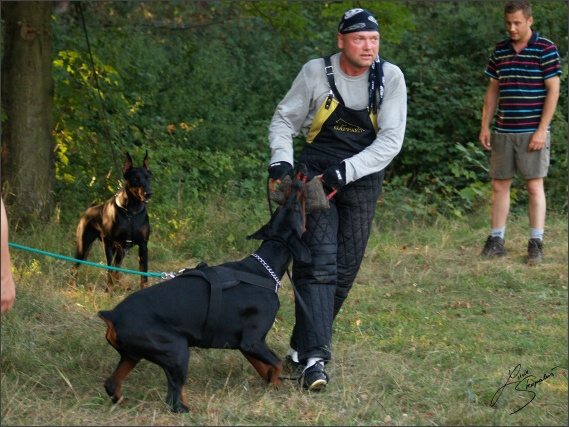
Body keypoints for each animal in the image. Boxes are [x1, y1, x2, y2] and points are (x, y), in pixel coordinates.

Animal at [72, 151, 152, 290]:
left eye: (148, 177)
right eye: (135, 178)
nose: (148, 193)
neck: (131, 211)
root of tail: (88, 210)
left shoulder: (143, 245)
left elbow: (143, 273)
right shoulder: (108, 241)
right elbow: (109, 268)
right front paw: (108, 289)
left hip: (120, 249)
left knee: (117, 269)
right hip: (84, 245)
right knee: (75, 266)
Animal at [98, 172, 310, 412]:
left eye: (283, 207)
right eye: (295, 208)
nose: (298, 183)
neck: (266, 268)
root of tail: (112, 316)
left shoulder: (245, 343)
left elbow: (265, 367)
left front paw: (276, 386)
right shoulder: (253, 340)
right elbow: (277, 364)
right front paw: (276, 384)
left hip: (132, 355)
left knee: (112, 384)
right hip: (177, 350)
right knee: (174, 400)